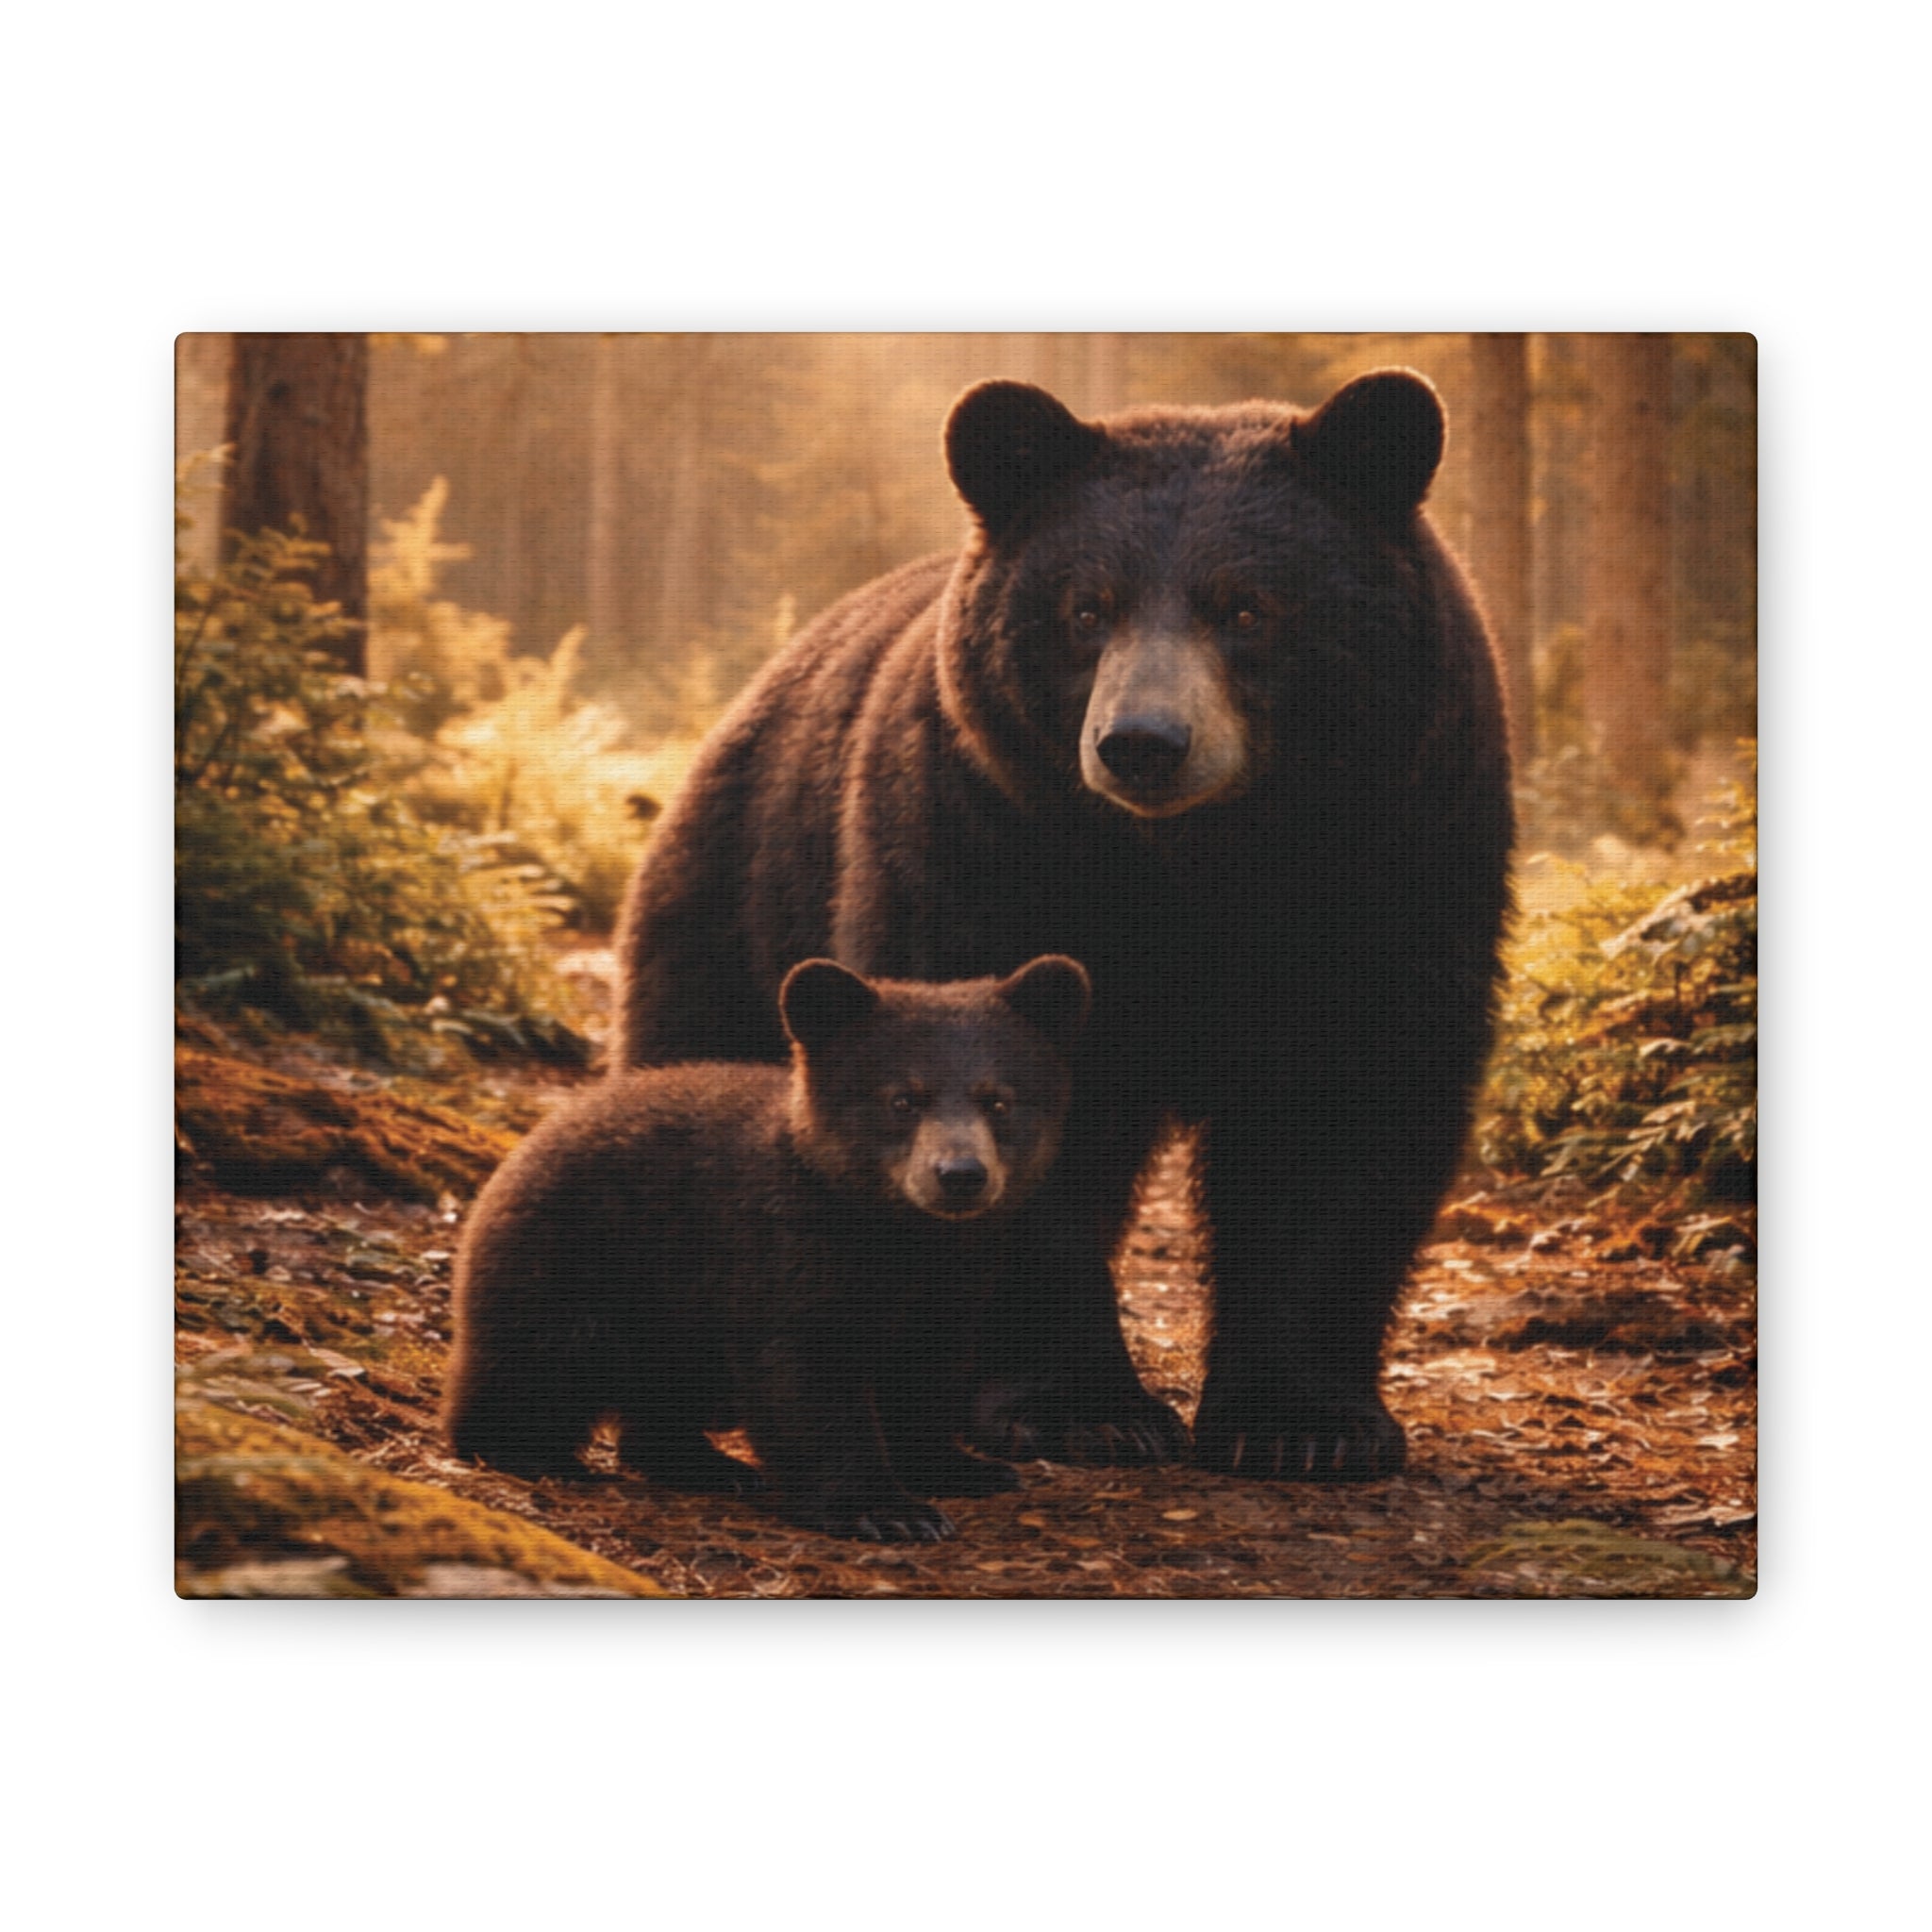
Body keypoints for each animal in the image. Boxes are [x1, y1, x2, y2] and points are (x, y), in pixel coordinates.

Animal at [443, 953, 1092, 1541]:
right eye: (903, 1099)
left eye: (999, 1099)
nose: (960, 1175)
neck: (894, 1234)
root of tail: (528, 1141)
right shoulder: (784, 1255)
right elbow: (807, 1380)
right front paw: (886, 1510)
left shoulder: (954, 1280)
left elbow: (926, 1371)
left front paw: (962, 1468)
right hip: (580, 1265)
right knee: (540, 1363)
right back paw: (528, 1451)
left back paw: (709, 1464)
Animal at [613, 368, 1513, 1482]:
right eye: (1088, 606)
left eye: (1247, 605)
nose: (1142, 743)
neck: (1199, 868)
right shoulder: (985, 847)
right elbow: (1009, 1099)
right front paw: (1080, 1407)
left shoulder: (1399, 864)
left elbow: (1345, 1110)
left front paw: (1304, 1422)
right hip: (741, 900)